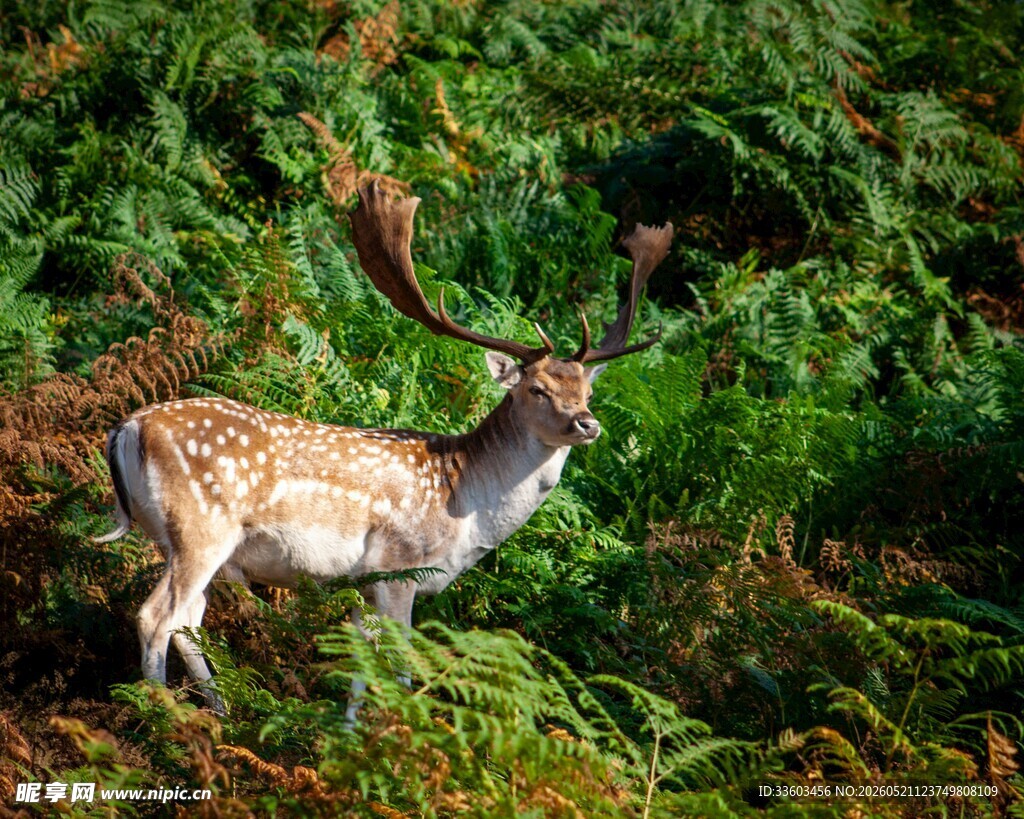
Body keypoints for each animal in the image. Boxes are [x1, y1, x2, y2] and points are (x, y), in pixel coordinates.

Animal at [96, 180, 673, 716]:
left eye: (587, 391)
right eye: (537, 389)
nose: (587, 423)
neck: (464, 505)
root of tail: (126, 429)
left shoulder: (364, 584)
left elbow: (360, 663)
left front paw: (354, 732)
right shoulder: (400, 564)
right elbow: (399, 668)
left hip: (179, 540)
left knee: (187, 621)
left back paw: (220, 716)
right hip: (201, 525)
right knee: (156, 616)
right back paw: (165, 719)